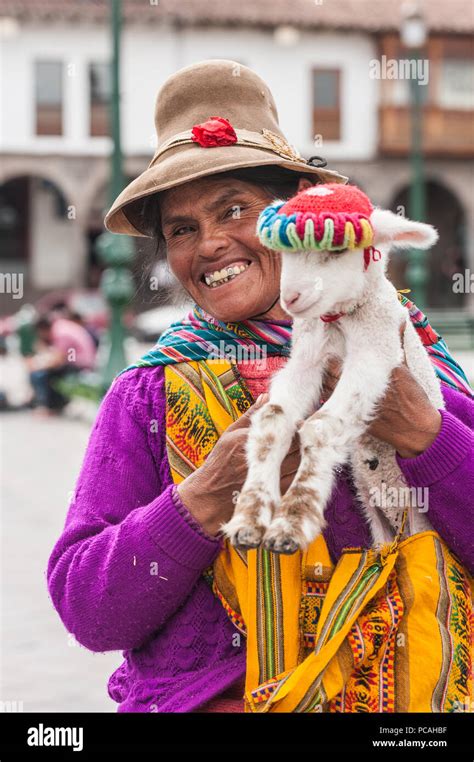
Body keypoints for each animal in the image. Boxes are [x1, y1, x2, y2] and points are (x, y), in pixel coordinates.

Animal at [222, 184, 440, 552]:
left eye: (337, 248)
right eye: (284, 250)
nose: (290, 298)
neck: (340, 323)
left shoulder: (374, 354)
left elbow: (321, 426)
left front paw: (292, 522)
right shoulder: (308, 359)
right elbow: (272, 422)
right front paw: (248, 519)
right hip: (375, 520)